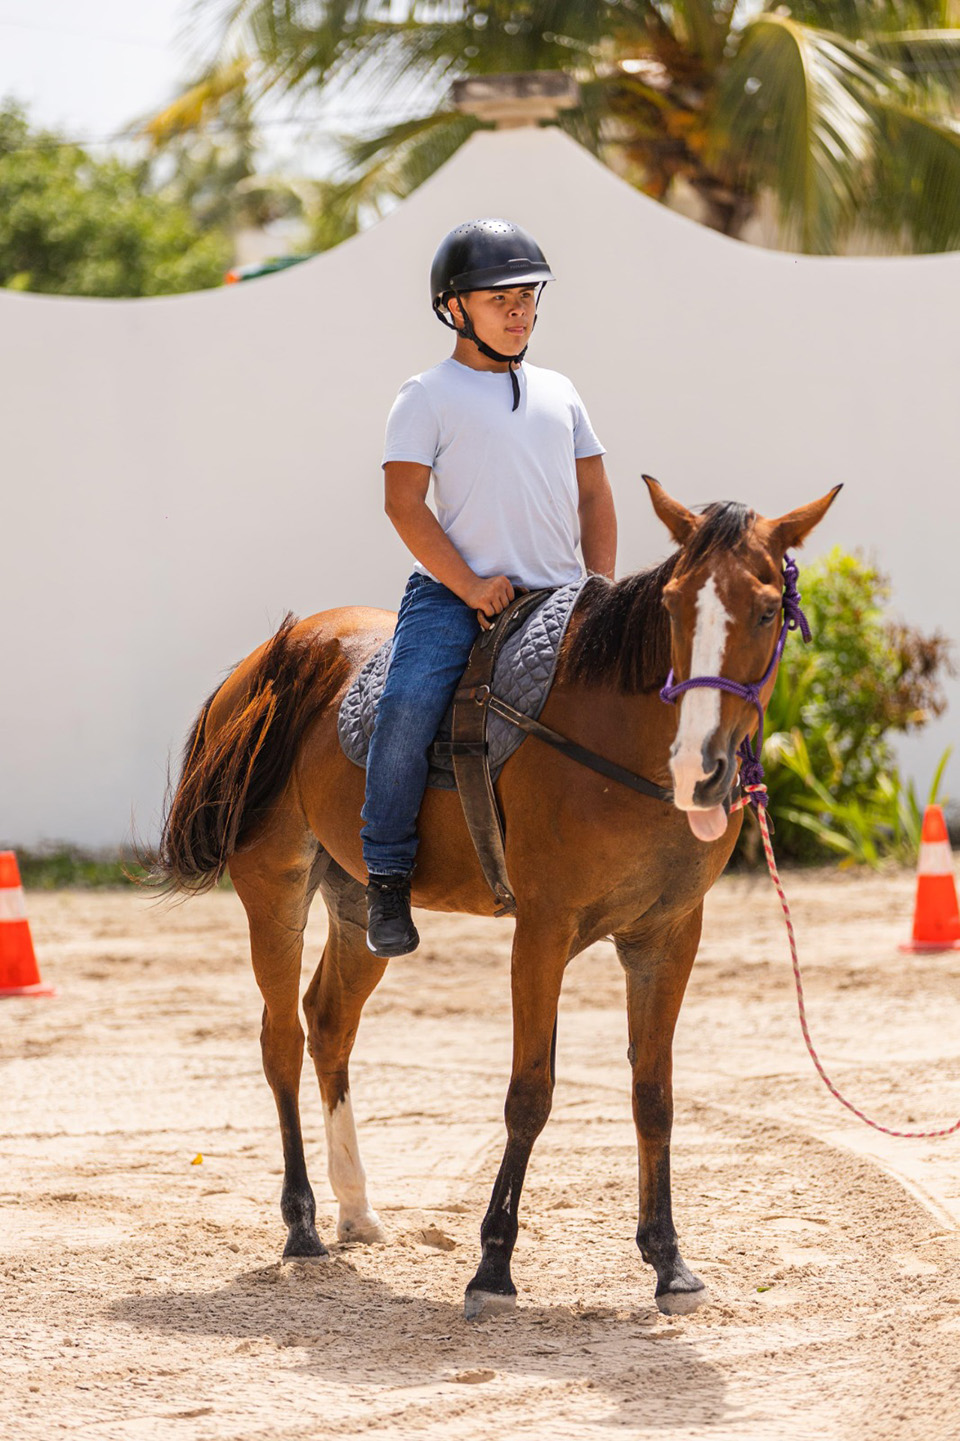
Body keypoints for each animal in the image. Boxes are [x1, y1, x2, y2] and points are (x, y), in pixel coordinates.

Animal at [153, 481, 836, 1319]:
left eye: (769, 609)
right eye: (675, 607)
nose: (700, 768)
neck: (614, 735)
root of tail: (270, 660)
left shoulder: (670, 934)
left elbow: (654, 1092)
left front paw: (669, 1260)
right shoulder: (542, 930)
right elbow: (530, 1094)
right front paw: (493, 1265)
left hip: (359, 904)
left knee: (329, 1022)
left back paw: (355, 1206)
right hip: (275, 885)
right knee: (281, 1036)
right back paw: (303, 1220)